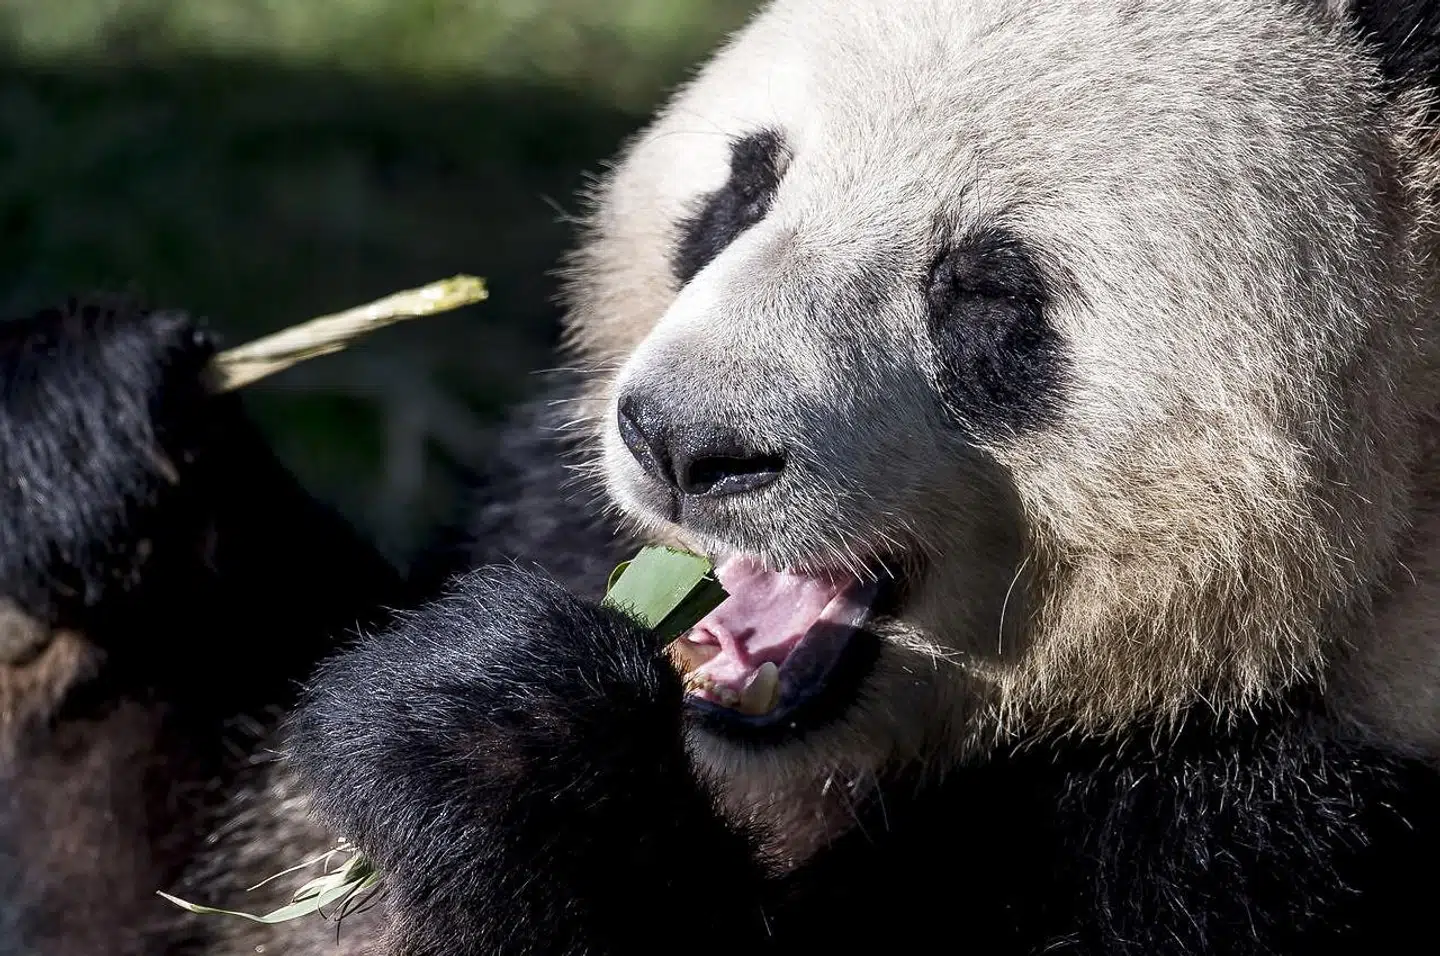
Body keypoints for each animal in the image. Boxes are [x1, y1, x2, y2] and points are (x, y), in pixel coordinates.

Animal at [3, 0, 1440, 953]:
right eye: (744, 192)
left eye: (989, 290)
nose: (682, 444)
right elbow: (185, 881)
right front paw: (89, 448)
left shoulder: (1296, 831)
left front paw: (498, 739)